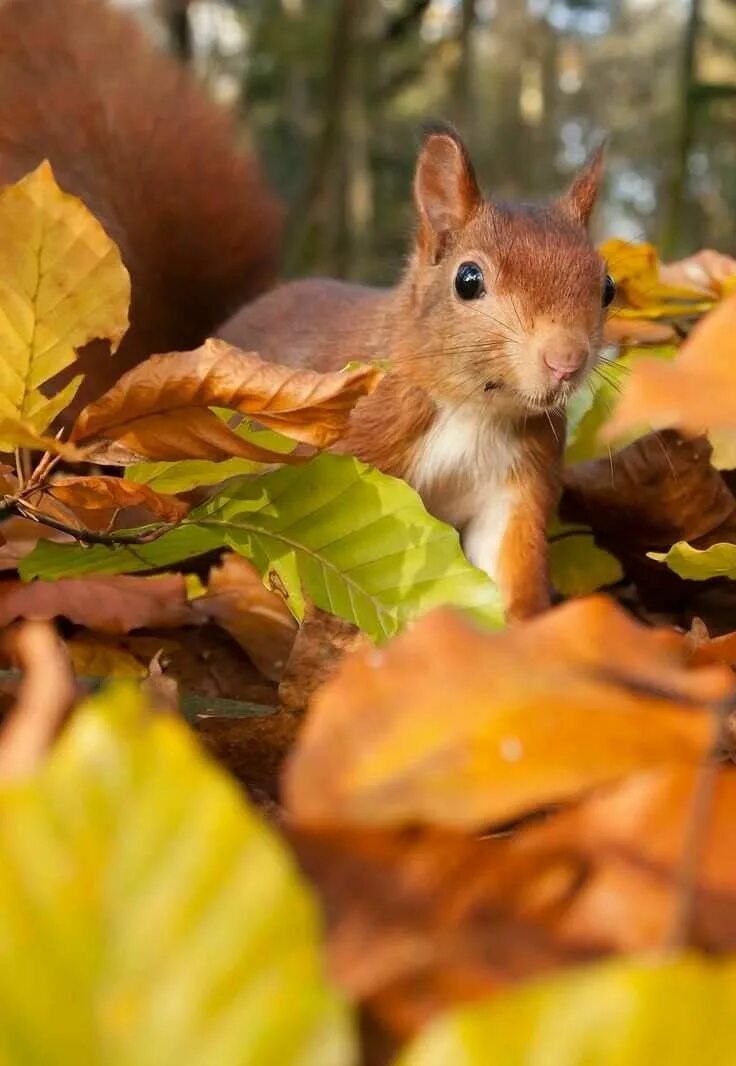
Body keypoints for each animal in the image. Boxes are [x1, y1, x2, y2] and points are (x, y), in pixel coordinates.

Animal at [0, 0, 605, 622]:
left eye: (605, 286)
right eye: (468, 280)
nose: (565, 359)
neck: (474, 411)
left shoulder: (518, 482)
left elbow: (510, 570)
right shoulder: (356, 454)